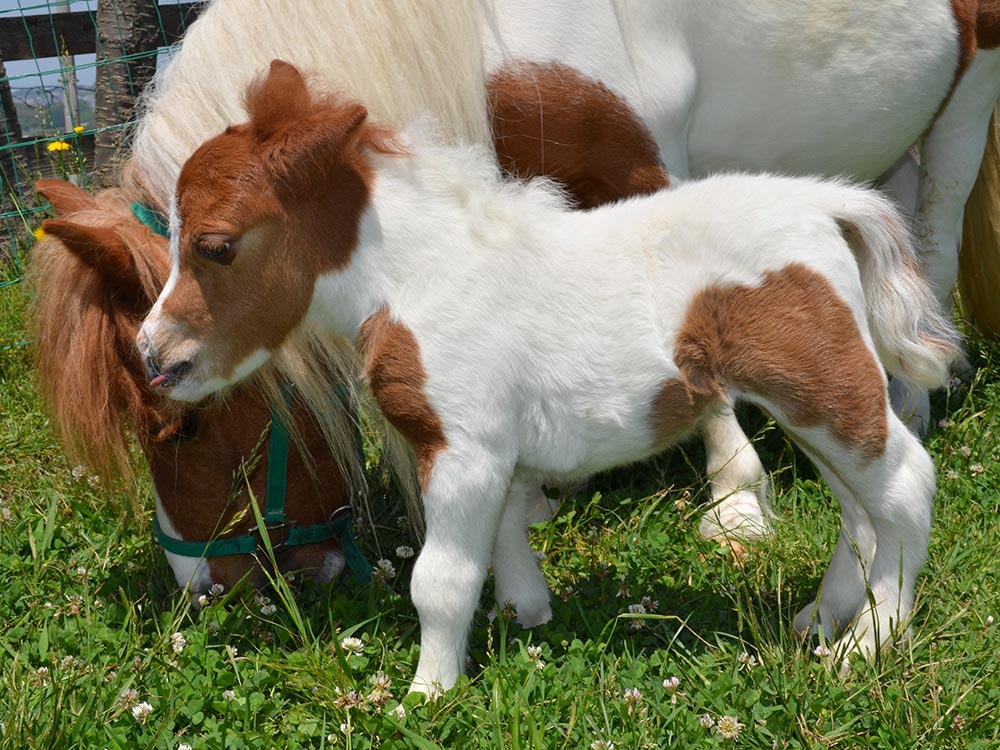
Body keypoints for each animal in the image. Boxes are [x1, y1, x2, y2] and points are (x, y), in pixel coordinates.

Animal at [139, 61, 960, 696]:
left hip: (823, 389)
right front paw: (525, 618)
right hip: (816, 401)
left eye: (215, 245)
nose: (153, 354)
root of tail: (824, 202)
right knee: (861, 512)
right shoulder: (495, 453)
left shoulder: (462, 448)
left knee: (906, 486)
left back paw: (866, 645)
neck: (418, 273)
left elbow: (441, 579)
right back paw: (821, 619)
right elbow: (505, 537)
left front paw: (429, 691)